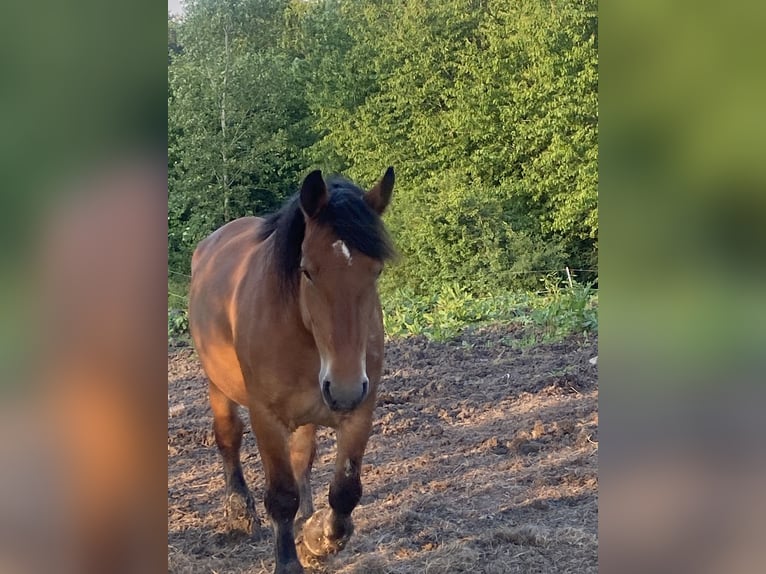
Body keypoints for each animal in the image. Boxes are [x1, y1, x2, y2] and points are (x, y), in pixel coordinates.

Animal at [189, 169, 396, 572]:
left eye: (375, 271)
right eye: (307, 271)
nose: (344, 389)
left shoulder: (360, 411)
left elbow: (345, 491)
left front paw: (317, 537)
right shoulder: (266, 418)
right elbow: (282, 495)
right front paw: (288, 560)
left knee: (302, 457)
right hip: (218, 385)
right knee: (228, 437)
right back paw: (239, 512)